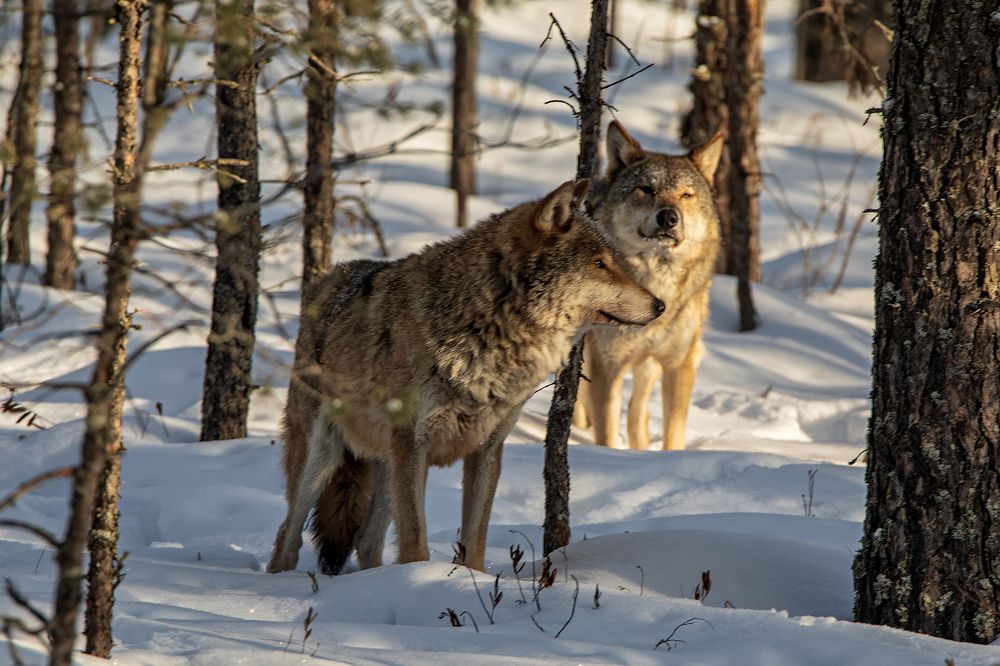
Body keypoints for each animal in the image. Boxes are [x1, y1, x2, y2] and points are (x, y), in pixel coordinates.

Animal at [268, 179, 664, 574]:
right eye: (599, 264)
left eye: (615, 261)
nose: (660, 305)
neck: (485, 328)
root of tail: (325, 282)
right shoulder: (413, 446)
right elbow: (416, 543)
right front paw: (422, 578)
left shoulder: (487, 450)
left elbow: (475, 542)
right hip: (322, 458)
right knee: (287, 536)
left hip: (384, 466)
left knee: (366, 541)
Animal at [573, 121, 723, 451]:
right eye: (646, 189)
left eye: (686, 195)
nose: (668, 217)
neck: (657, 285)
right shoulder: (608, 366)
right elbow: (606, 431)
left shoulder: (678, 364)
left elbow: (673, 433)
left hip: (648, 367)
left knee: (636, 413)